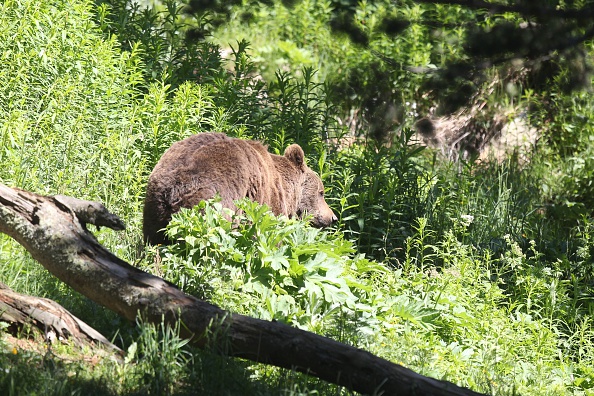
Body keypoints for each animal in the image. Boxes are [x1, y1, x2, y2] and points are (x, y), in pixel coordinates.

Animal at [142, 133, 338, 244]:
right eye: (321, 192)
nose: (333, 217)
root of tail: (174, 188)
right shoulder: (265, 203)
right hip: (212, 204)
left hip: (154, 205)